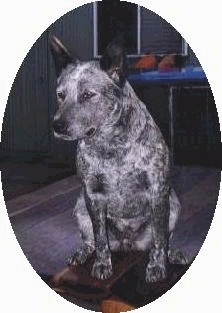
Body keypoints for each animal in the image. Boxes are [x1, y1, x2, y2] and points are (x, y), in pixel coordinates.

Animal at [49, 35, 186, 282]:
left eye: (88, 95)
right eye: (60, 95)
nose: (57, 125)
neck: (111, 145)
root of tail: (127, 243)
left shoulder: (158, 191)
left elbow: (160, 239)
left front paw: (156, 267)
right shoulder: (92, 195)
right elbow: (100, 239)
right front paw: (102, 265)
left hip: (174, 204)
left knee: (165, 238)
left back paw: (172, 253)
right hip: (79, 207)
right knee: (90, 241)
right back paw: (82, 253)